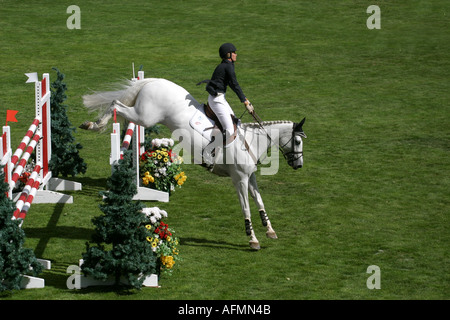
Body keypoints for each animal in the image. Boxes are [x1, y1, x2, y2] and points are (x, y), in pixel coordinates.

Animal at [80, 77, 306, 250]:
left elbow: (259, 201)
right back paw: (93, 124)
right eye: (297, 141)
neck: (250, 140)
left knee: (120, 107)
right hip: (145, 117)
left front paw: (270, 230)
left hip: (142, 116)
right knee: (116, 104)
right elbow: (246, 208)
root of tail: (154, 80)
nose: (299, 165)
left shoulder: (249, 176)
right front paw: (253, 240)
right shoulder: (239, 179)